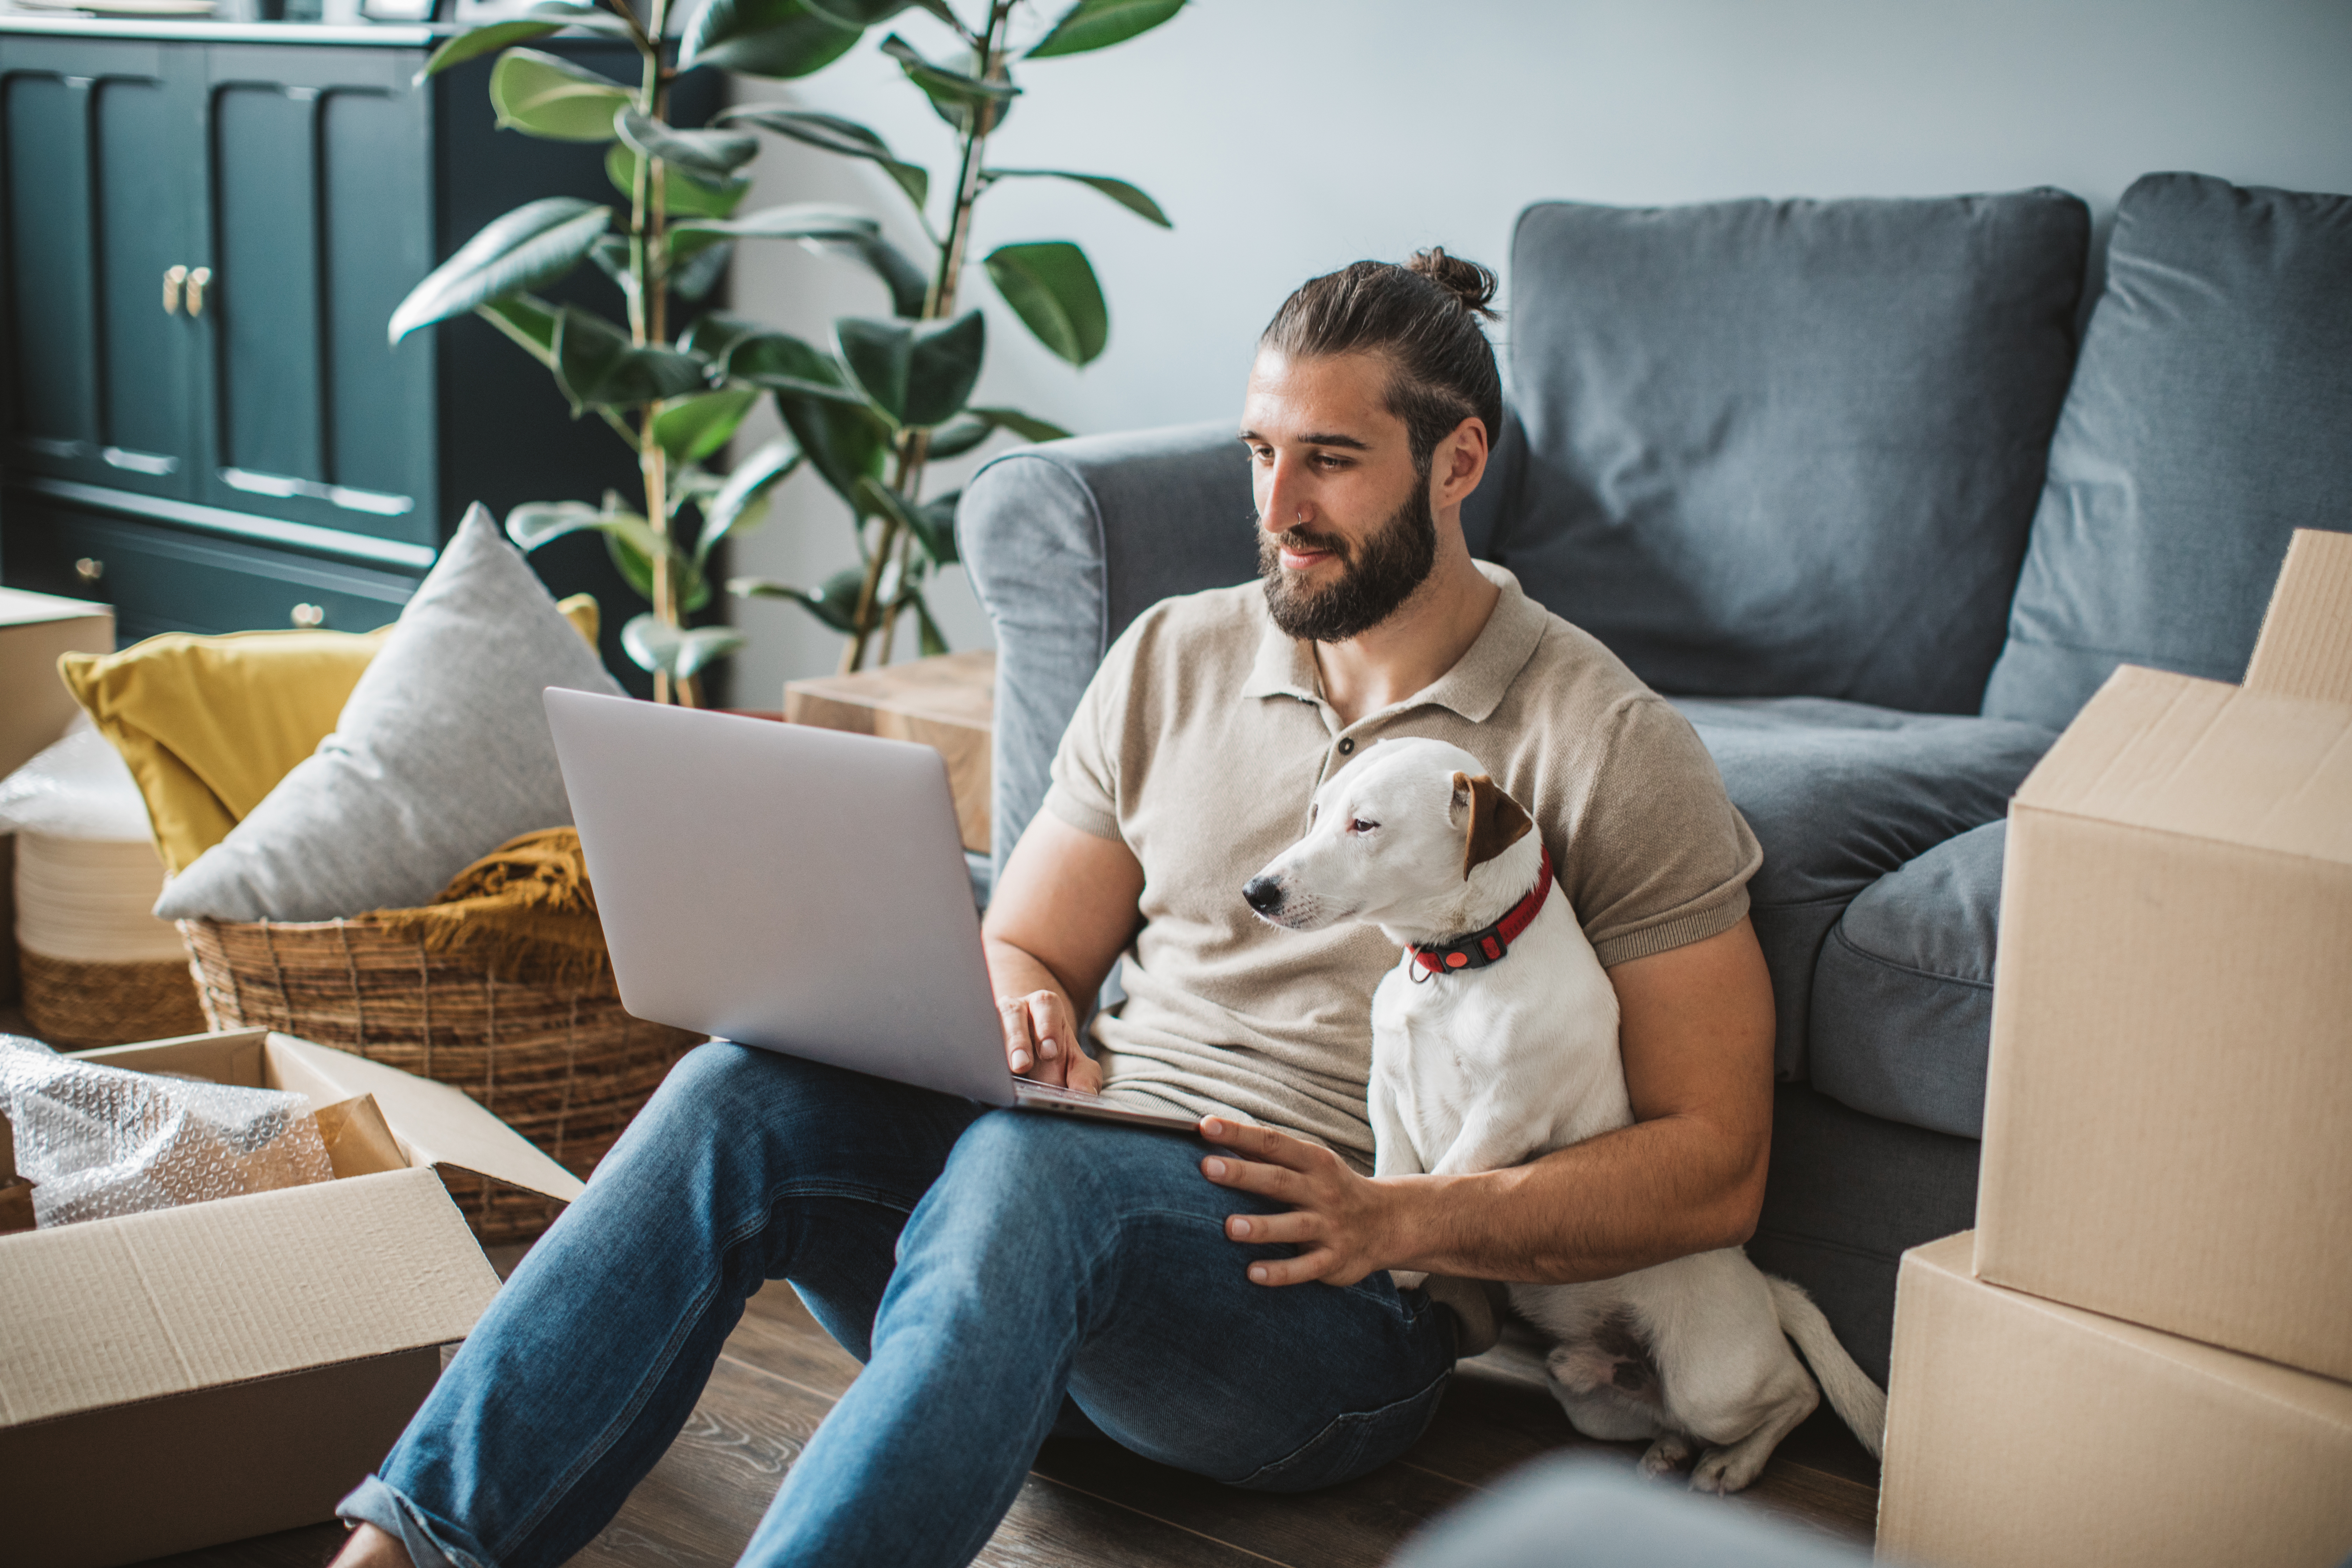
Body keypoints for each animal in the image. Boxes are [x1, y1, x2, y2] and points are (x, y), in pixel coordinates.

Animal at [1251, 738, 1891, 1495]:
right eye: (1318, 812)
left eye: (1365, 825)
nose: (1256, 891)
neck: (1459, 966)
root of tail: (1764, 1287)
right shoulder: (1389, 1087)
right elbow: (1400, 1172)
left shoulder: (1505, 1116)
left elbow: (1437, 1182)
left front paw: (1393, 1257)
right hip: (1590, 1400)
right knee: (1664, 1414)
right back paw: (1672, 1449)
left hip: (1714, 1383)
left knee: (1797, 1394)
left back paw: (1734, 1462)